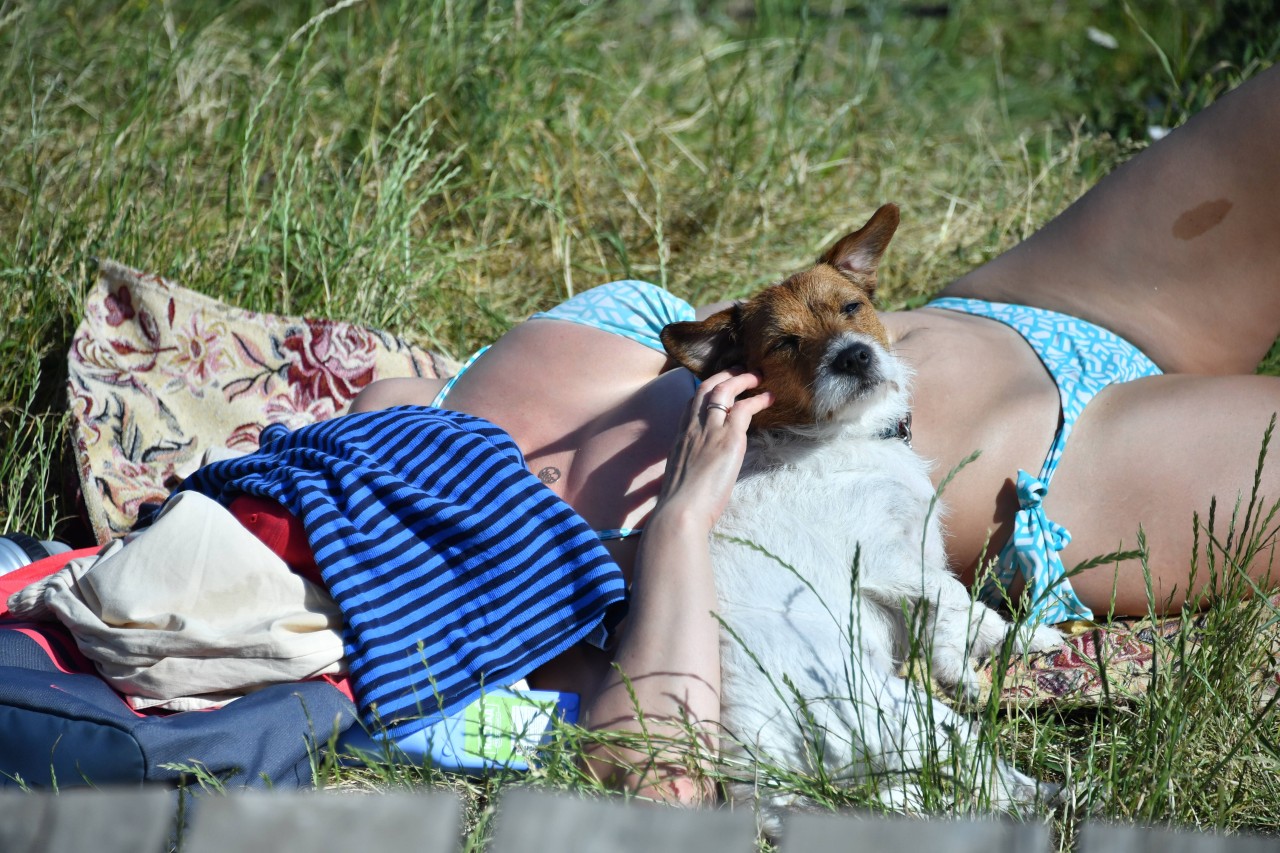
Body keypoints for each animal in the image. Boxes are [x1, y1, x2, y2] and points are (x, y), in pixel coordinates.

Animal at [660, 204, 1059, 819]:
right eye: (785, 343)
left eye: (851, 307)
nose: (853, 355)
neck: (846, 438)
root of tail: (762, 783)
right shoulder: (881, 561)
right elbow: (954, 597)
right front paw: (965, 667)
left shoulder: (917, 560)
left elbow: (960, 610)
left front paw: (1014, 640)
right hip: (908, 716)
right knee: (984, 776)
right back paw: (1052, 796)